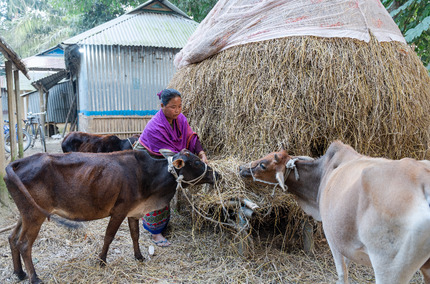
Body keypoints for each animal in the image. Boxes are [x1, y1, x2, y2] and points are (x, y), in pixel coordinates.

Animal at [3, 150, 218, 282]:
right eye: (197, 162)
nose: (217, 175)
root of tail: (18, 163)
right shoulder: (119, 210)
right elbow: (109, 236)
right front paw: (101, 261)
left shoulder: (133, 211)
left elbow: (134, 235)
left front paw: (139, 256)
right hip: (35, 215)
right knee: (24, 244)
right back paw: (34, 278)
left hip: (27, 212)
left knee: (12, 238)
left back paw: (19, 273)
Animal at [239, 141, 430, 282]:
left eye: (263, 165)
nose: (241, 168)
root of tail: (423, 183)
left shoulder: (333, 239)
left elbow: (342, 274)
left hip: (388, 267)